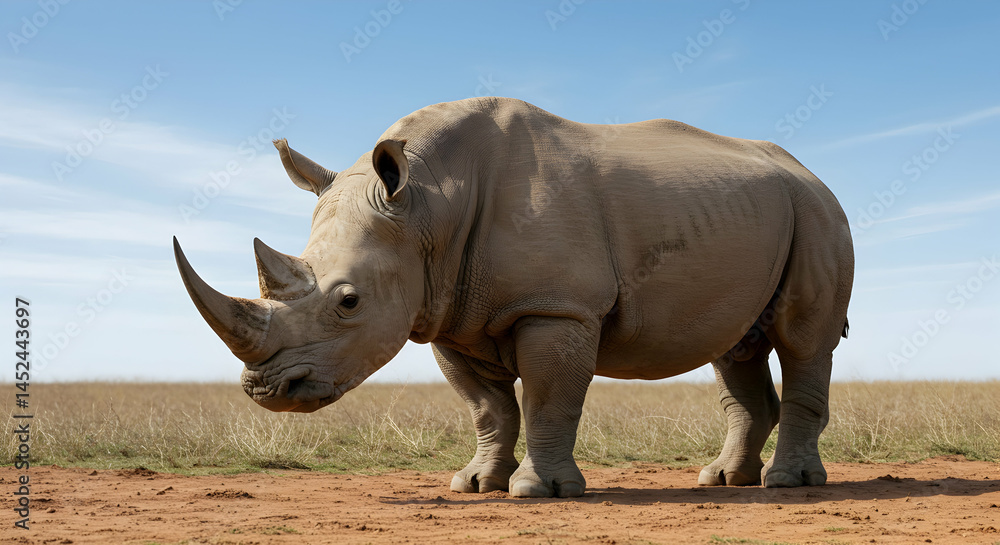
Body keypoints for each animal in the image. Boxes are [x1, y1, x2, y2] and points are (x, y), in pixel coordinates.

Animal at [173, 97, 853, 498]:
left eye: (348, 302)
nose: (266, 390)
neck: (427, 205)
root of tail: (811, 172)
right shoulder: (449, 312)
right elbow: (489, 408)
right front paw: (474, 485)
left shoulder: (556, 306)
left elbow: (549, 398)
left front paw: (537, 491)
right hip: (761, 211)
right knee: (735, 349)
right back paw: (723, 481)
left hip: (818, 212)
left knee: (804, 340)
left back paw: (786, 485)